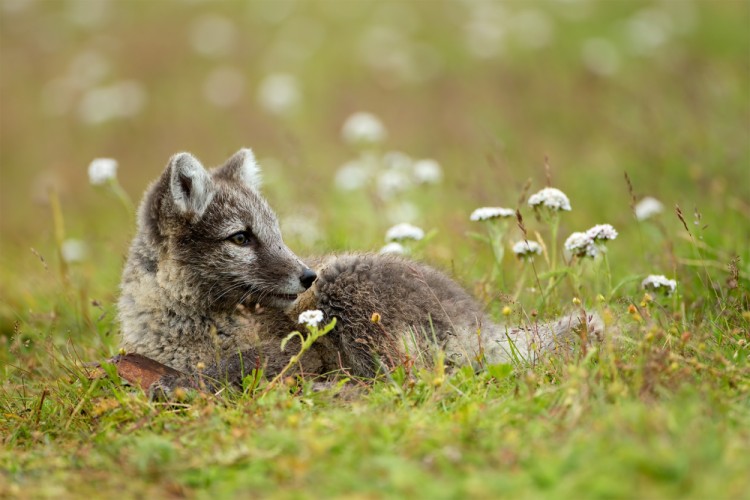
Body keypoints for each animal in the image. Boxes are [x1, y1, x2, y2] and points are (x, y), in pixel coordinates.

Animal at [119, 148, 604, 390]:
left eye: (276, 233)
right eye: (241, 238)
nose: (306, 276)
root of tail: (479, 323)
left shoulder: (300, 352)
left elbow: (237, 363)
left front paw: (183, 383)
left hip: (346, 292)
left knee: (404, 381)